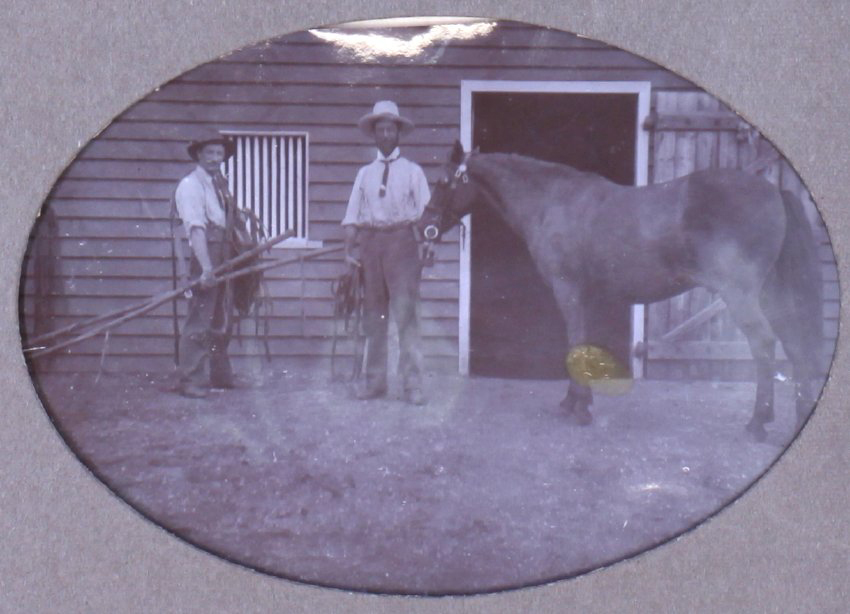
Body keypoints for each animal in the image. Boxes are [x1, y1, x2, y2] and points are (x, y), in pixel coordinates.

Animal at [419, 141, 824, 441]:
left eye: (443, 183)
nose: (425, 227)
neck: (551, 202)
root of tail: (774, 191)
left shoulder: (568, 291)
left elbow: (574, 343)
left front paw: (579, 408)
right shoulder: (586, 296)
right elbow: (582, 342)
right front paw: (574, 402)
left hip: (740, 296)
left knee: (765, 345)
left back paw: (757, 423)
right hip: (771, 293)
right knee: (794, 344)